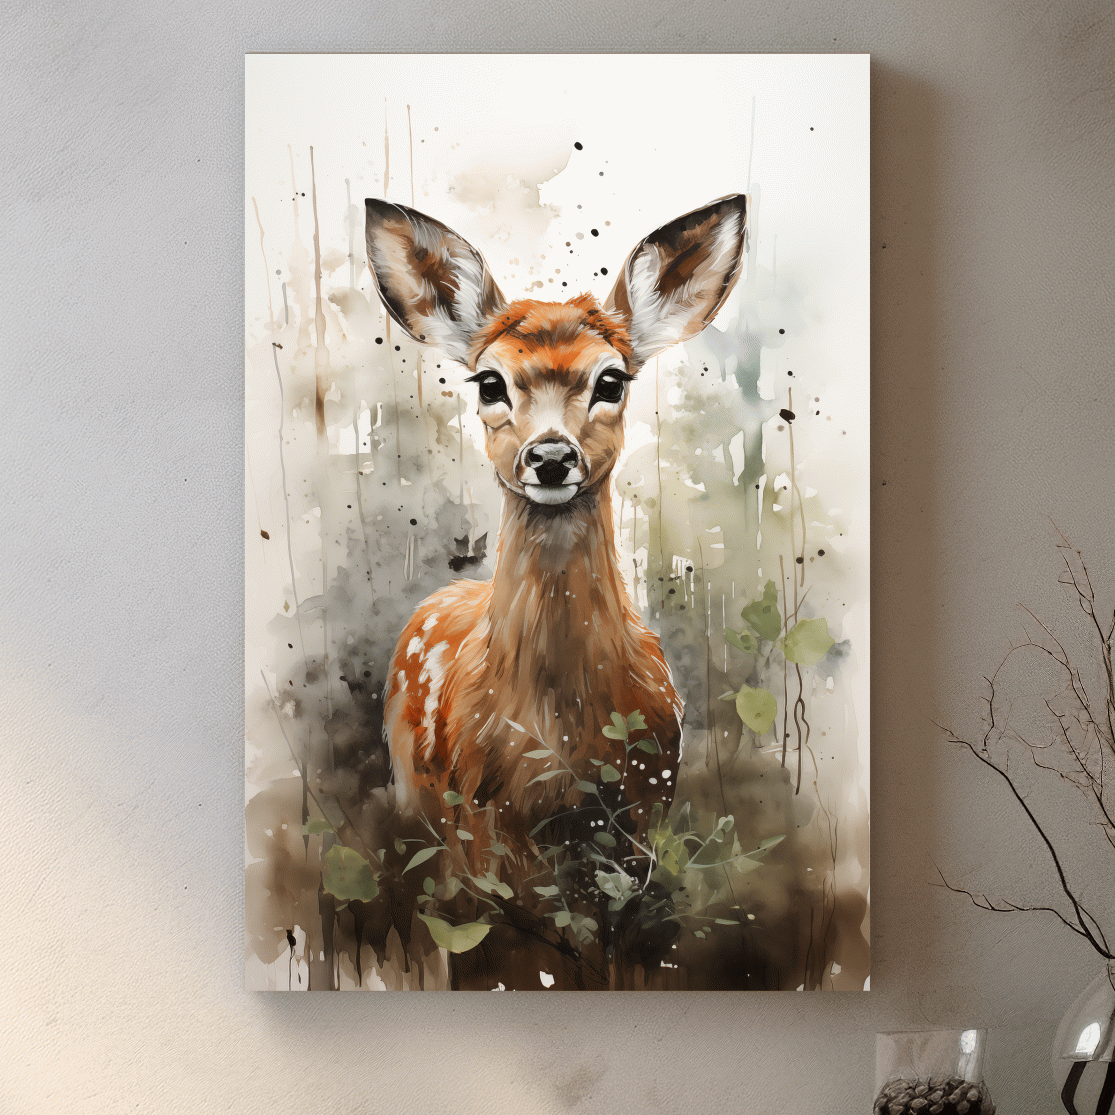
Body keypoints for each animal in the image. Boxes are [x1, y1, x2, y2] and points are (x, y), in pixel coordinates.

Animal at [365, 194, 748, 873]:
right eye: (489, 382)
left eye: (612, 380)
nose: (550, 456)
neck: (559, 738)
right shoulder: (479, 818)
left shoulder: (648, 803)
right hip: (414, 789)